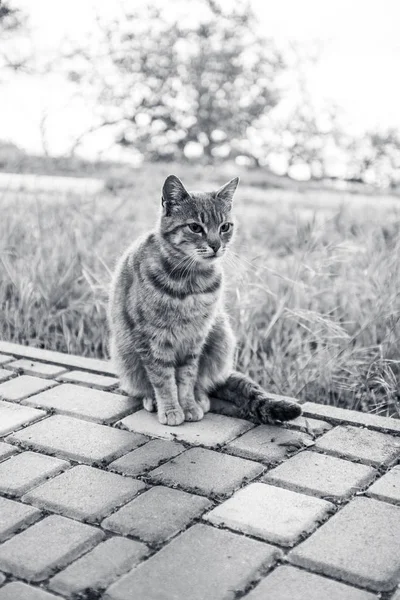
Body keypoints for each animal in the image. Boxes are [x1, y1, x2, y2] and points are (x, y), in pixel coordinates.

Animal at [108, 173, 302, 426]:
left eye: (224, 227)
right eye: (195, 227)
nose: (216, 245)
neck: (191, 282)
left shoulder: (195, 339)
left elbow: (187, 378)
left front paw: (189, 404)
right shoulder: (152, 339)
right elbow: (163, 379)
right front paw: (170, 408)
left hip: (221, 336)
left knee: (205, 382)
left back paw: (200, 399)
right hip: (125, 353)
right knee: (144, 385)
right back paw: (152, 399)